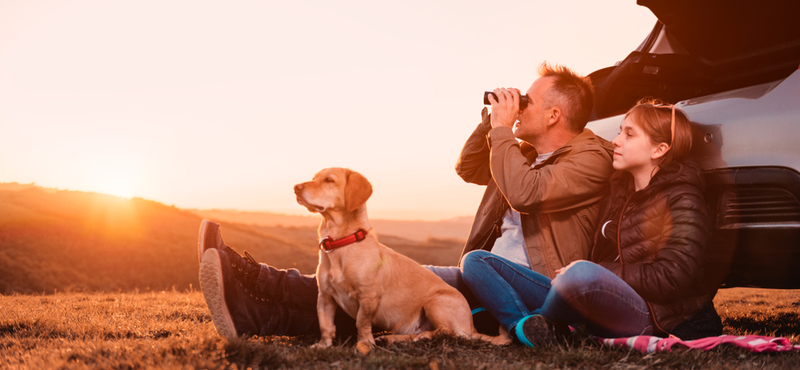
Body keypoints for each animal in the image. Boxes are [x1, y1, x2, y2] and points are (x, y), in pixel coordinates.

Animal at [292, 167, 506, 352]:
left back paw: (422, 336)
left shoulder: (368, 296)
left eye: (329, 180)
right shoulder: (325, 297)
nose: (295, 187)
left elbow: (362, 322)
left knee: (447, 332)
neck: (342, 242)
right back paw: (393, 338)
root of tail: (471, 327)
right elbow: (326, 325)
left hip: (435, 301)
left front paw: (365, 344)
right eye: (314, 177)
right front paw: (323, 345)